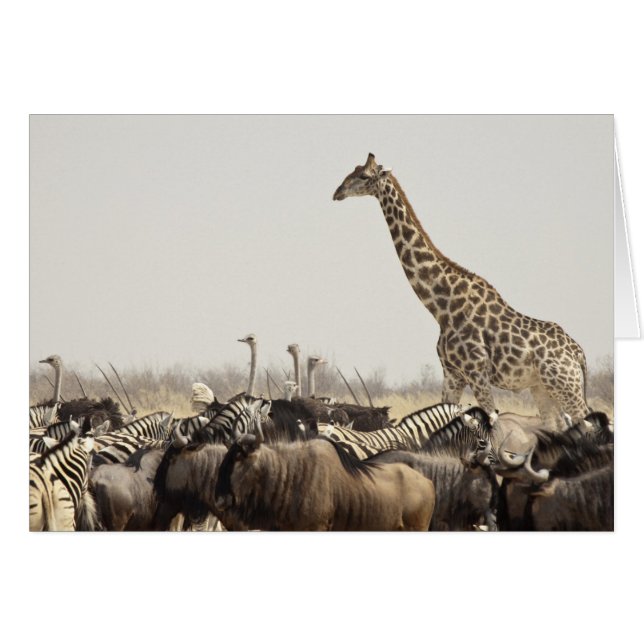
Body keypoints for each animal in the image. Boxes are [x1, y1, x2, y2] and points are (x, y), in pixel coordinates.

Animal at [333, 153, 590, 430]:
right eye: (353, 170)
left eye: (363, 176)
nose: (337, 192)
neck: (442, 306)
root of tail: (579, 354)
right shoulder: (452, 374)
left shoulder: (477, 372)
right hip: (542, 388)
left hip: (566, 386)